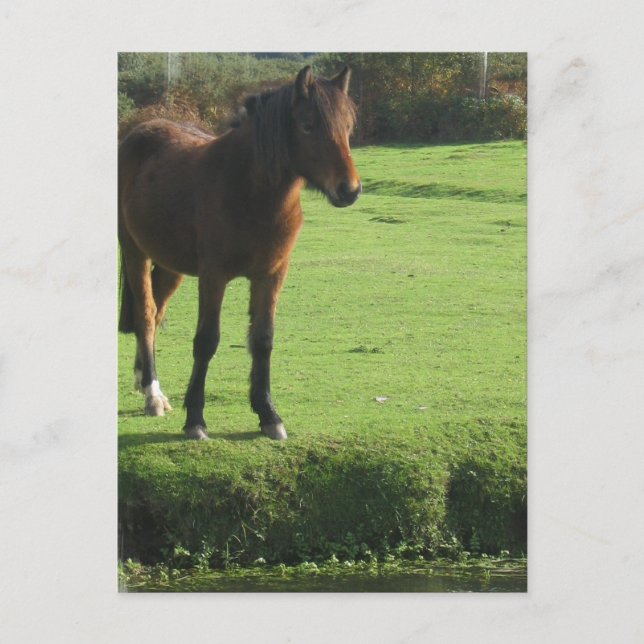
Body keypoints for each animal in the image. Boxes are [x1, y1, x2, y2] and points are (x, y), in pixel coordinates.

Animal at [118, 65, 361, 441]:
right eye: (308, 125)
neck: (247, 190)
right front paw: (196, 420)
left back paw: (144, 378)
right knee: (145, 315)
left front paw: (269, 415)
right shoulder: (213, 277)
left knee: (156, 313)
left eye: (348, 126)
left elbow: (262, 340)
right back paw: (152, 394)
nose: (349, 189)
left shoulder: (271, 275)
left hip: (171, 266)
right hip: (135, 254)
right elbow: (207, 341)